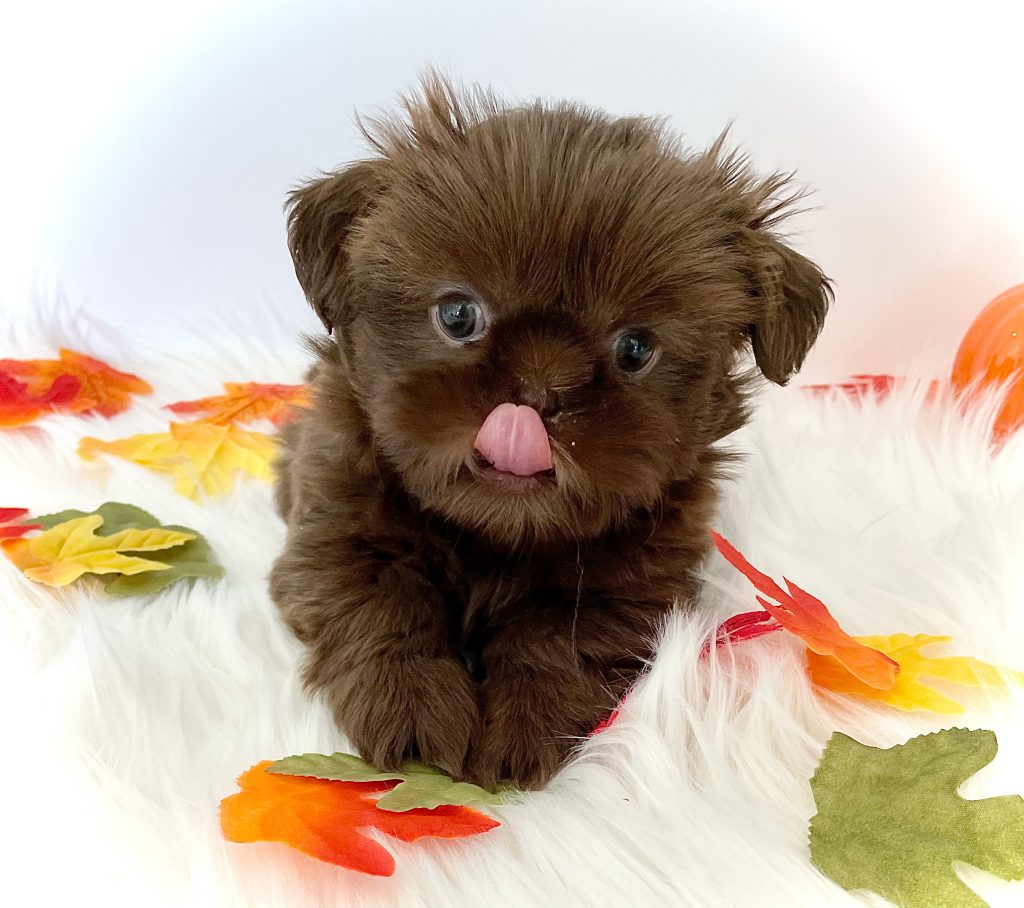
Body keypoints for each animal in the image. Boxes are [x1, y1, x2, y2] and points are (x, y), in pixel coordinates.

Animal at [270, 76, 831, 790]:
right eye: (458, 315)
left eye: (635, 349)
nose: (539, 391)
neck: (493, 537)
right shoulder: (340, 536)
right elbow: (389, 614)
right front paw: (414, 712)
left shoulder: (623, 589)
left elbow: (554, 644)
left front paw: (523, 735)